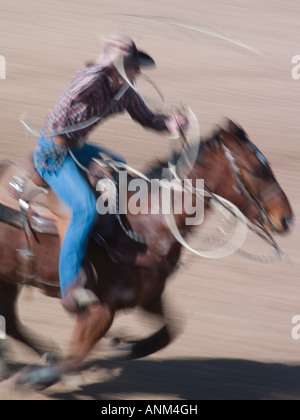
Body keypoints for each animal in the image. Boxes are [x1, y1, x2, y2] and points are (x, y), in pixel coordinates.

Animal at [0, 118, 292, 388]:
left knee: (11, 321)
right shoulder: (98, 312)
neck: (146, 225)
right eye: (256, 169)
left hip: (9, 279)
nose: (287, 219)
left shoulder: (148, 297)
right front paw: (35, 378)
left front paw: (124, 344)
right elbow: (75, 356)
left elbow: (168, 333)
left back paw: (36, 357)